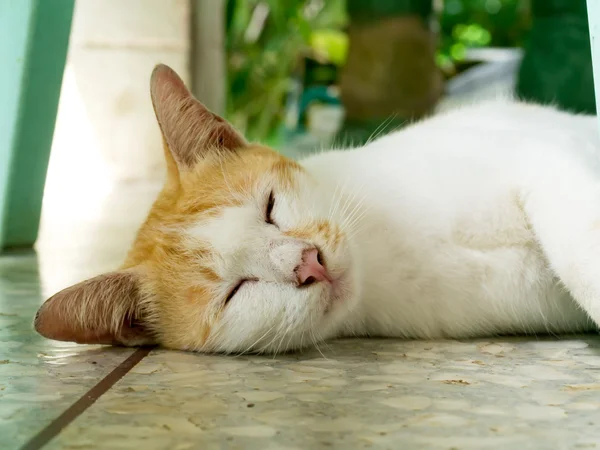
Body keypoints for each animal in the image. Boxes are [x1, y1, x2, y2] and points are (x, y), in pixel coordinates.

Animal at [34, 63, 600, 354]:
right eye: (235, 291)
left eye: (269, 207)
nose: (310, 264)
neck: (386, 253)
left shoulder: (544, 154)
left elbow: (579, 249)